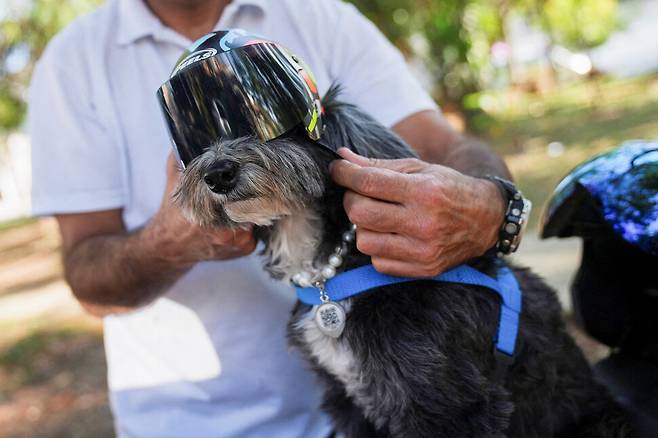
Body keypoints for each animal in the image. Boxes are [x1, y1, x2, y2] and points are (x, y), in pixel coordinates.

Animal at [176, 86, 632, 438]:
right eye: (196, 134)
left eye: (264, 119)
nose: (217, 173)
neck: (336, 272)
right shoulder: (348, 402)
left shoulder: (451, 407)